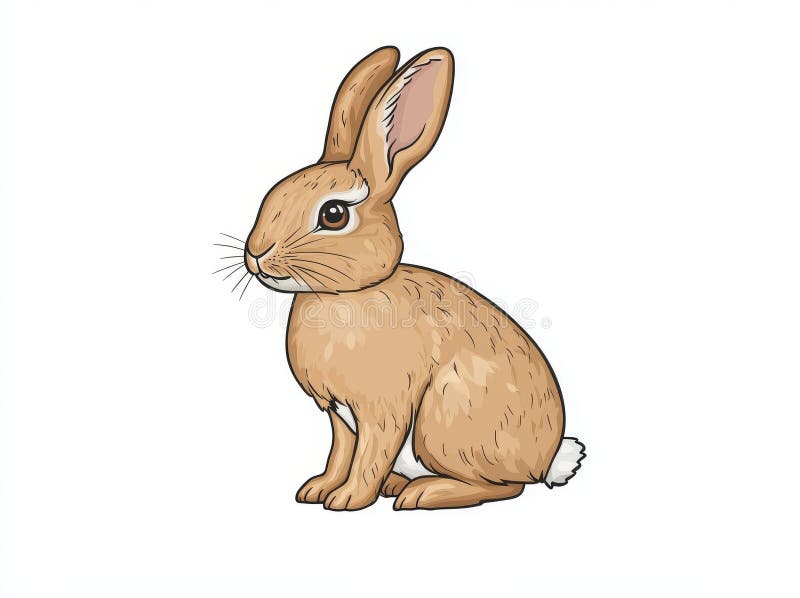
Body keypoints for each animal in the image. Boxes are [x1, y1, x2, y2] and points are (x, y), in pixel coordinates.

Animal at [240, 46, 585, 510]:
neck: (346, 295)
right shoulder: (339, 417)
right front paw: (317, 489)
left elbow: (368, 456)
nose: (256, 254)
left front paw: (347, 500)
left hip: (444, 416)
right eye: (275, 192)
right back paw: (398, 486)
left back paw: (422, 493)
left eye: (334, 214)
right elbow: (340, 453)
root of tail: (548, 461)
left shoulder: (384, 410)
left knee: (504, 487)